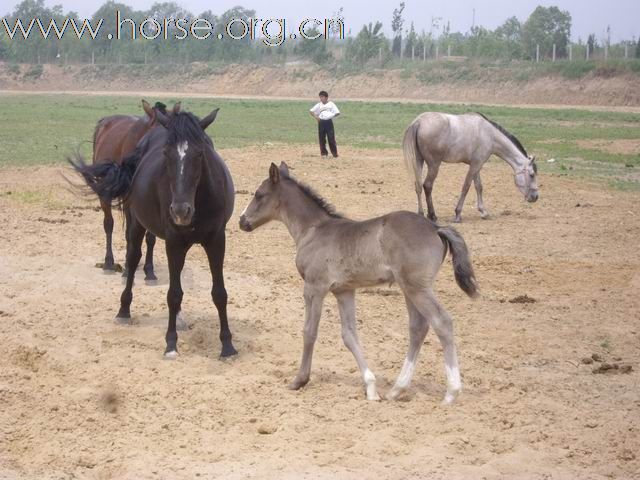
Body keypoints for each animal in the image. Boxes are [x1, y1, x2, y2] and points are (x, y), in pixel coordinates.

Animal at [92, 100, 172, 282]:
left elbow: (150, 237)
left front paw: (149, 270)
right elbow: (129, 232)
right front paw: (128, 269)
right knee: (109, 224)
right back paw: (109, 263)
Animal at [238, 163, 478, 404]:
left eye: (259, 194)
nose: (242, 221)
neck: (313, 230)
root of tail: (436, 228)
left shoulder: (314, 288)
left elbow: (309, 331)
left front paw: (299, 380)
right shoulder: (344, 291)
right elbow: (349, 335)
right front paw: (370, 387)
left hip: (417, 288)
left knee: (442, 322)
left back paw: (451, 392)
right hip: (409, 289)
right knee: (418, 328)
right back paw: (396, 389)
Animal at [402, 112, 536, 223]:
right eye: (532, 174)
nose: (535, 197)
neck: (490, 134)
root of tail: (419, 122)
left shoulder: (476, 165)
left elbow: (478, 187)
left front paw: (483, 212)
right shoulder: (476, 165)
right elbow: (466, 187)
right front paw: (457, 214)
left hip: (419, 161)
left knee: (418, 186)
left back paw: (421, 213)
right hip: (434, 165)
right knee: (427, 186)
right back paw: (432, 215)